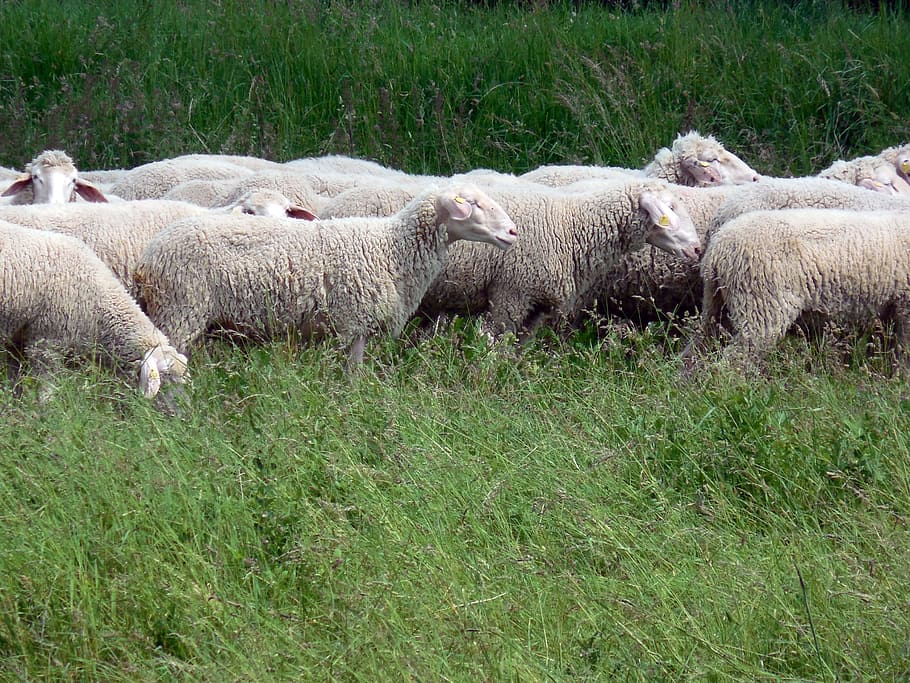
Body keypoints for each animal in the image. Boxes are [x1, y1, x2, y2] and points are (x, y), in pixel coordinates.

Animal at [133, 183, 518, 365]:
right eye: (474, 204)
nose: (514, 232)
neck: (392, 248)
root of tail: (149, 256)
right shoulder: (353, 324)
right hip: (180, 311)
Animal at [417, 178, 702, 339]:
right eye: (670, 208)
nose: (698, 249)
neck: (570, 225)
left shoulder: (536, 306)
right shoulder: (511, 296)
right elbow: (495, 346)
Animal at [690, 208, 910, 372]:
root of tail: (717, 249)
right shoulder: (906, 308)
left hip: (717, 303)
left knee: (700, 347)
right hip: (760, 304)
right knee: (735, 359)